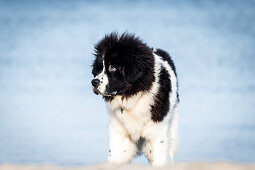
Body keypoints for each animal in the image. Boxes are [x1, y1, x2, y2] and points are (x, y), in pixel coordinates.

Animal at [90, 32, 178, 166]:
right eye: (99, 68)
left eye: (112, 67)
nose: (94, 82)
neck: (133, 98)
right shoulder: (118, 130)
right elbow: (114, 155)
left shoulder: (157, 132)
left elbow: (159, 156)